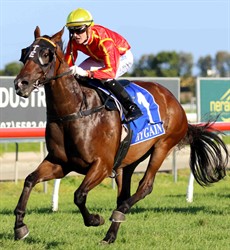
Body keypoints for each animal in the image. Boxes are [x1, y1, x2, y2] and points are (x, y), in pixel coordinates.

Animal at [13, 26, 228, 243]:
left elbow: (79, 195)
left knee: (145, 186)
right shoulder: (60, 163)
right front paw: (20, 226)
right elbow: (30, 180)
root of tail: (175, 102)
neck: (75, 111)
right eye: (25, 52)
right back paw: (110, 234)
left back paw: (119, 212)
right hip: (127, 161)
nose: (21, 84)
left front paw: (95, 219)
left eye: (46, 54)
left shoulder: (102, 165)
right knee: (123, 193)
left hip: (163, 145)